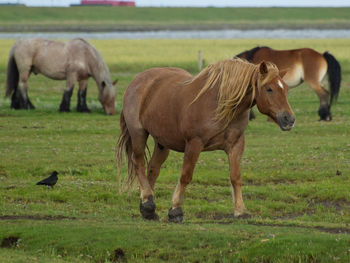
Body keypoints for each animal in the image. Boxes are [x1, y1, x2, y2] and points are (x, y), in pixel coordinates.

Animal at [115, 58, 296, 223]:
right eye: (269, 89)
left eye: (286, 89)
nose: (289, 119)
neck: (220, 103)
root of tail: (138, 80)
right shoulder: (194, 144)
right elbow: (185, 176)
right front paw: (176, 210)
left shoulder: (236, 145)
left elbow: (235, 177)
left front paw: (240, 211)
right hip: (138, 133)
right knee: (139, 163)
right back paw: (147, 202)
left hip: (162, 142)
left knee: (153, 169)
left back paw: (148, 209)